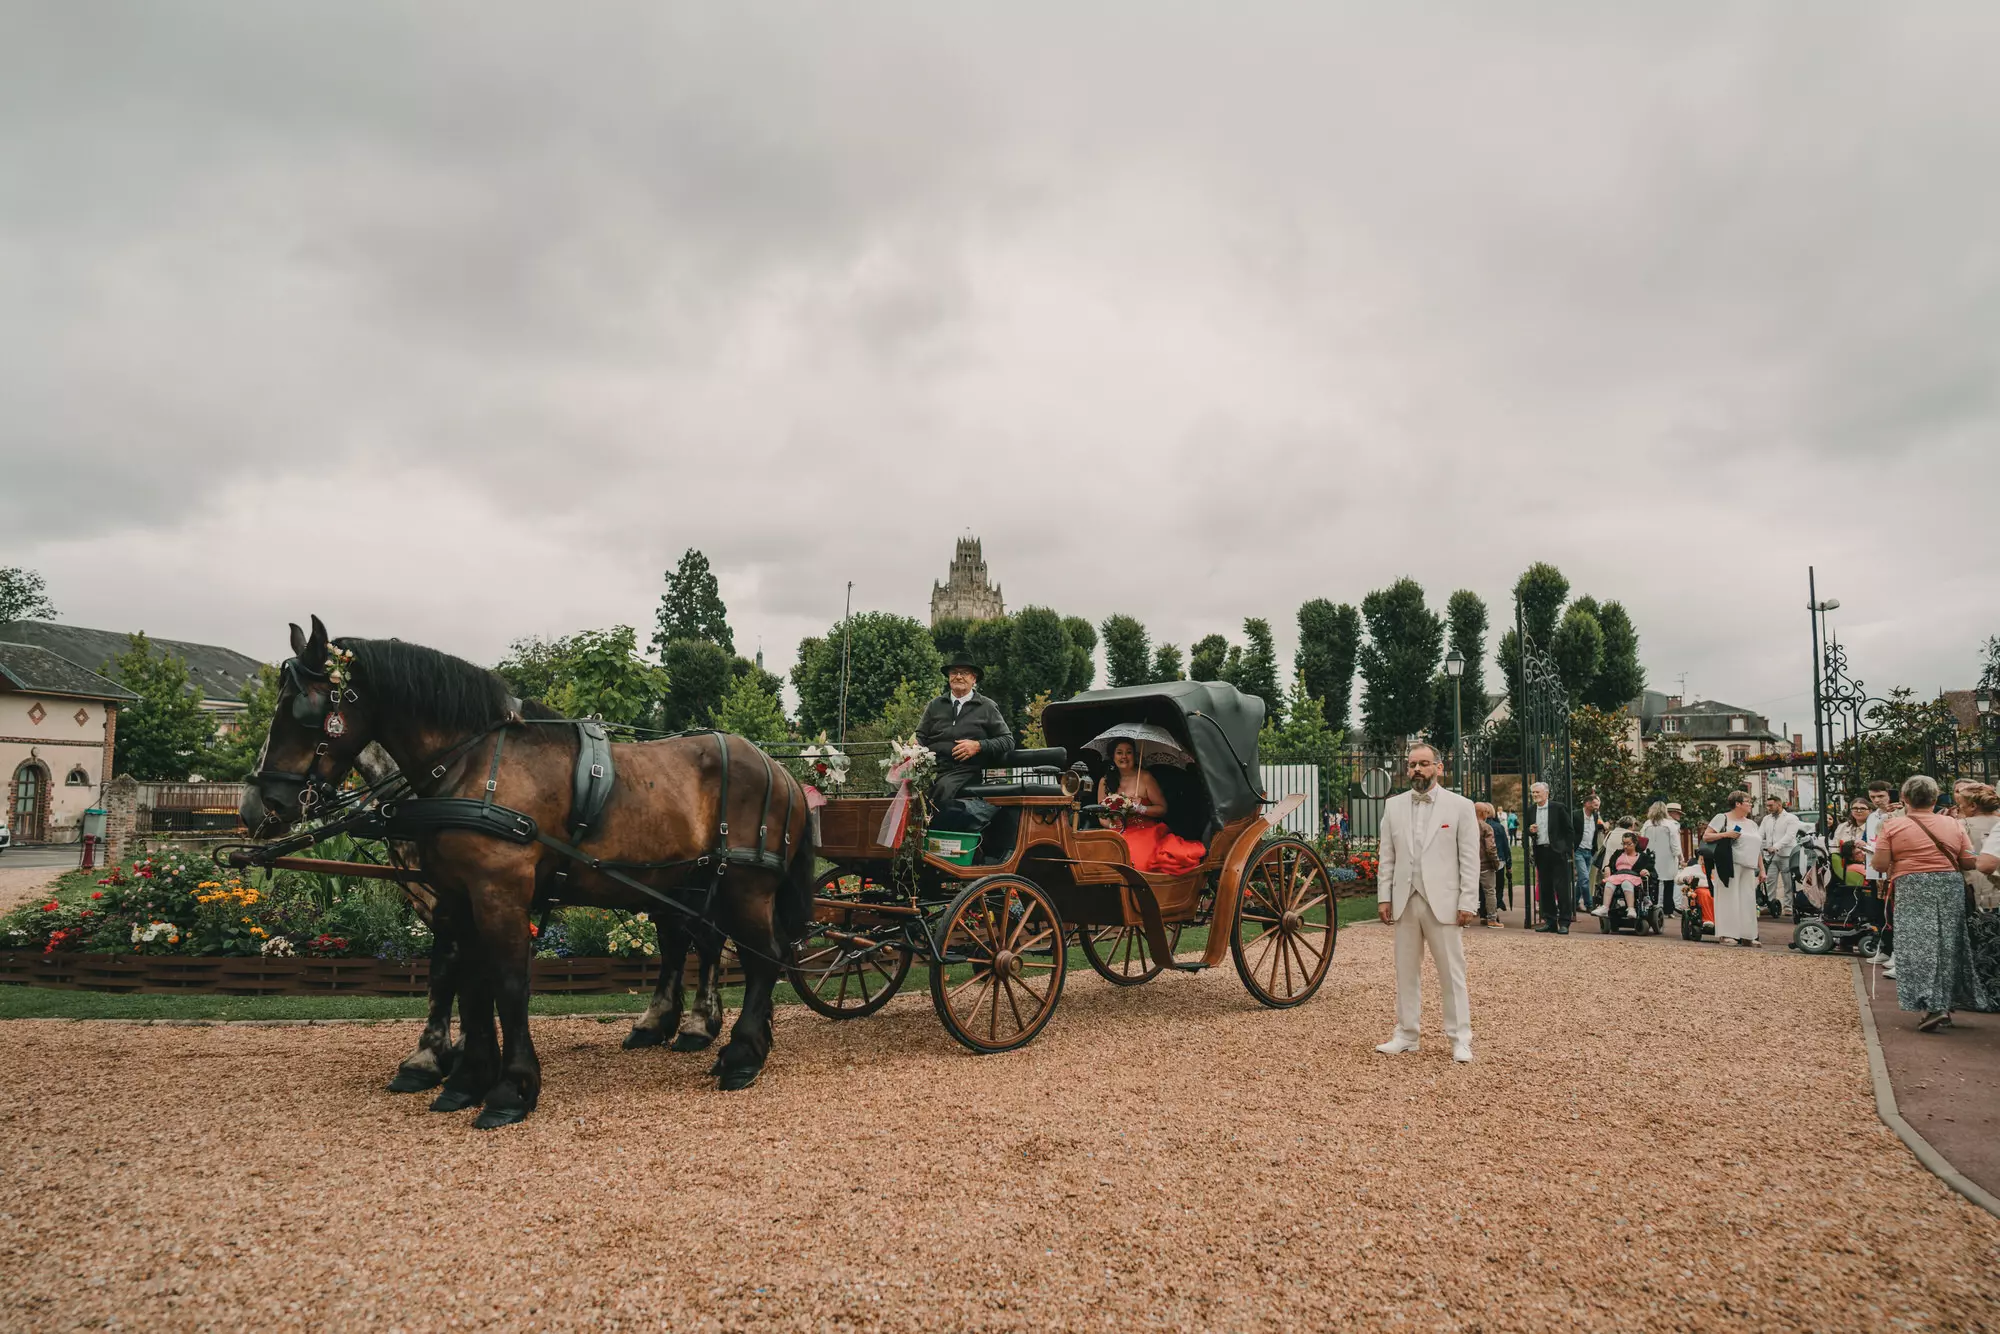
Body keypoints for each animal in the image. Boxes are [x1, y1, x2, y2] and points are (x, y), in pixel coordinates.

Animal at [240, 620, 812, 1128]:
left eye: (303, 709)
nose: (259, 806)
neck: (472, 767)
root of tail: (778, 768)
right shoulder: (457, 896)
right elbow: (468, 983)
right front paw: (464, 1077)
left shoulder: (500, 893)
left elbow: (508, 983)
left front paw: (509, 1088)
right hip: (686, 881)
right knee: (697, 945)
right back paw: (691, 1030)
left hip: (743, 885)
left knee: (762, 957)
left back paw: (740, 1054)